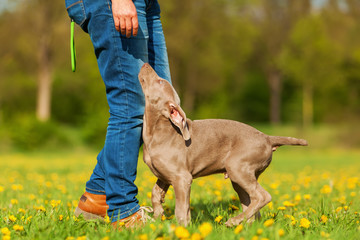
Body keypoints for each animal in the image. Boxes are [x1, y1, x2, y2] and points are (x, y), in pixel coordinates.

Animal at [138, 62, 306, 226]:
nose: (145, 63)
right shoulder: (164, 176)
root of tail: (267, 137)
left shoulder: (182, 178)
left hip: (237, 167)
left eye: (161, 81)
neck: (155, 131)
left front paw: (182, 228)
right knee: (251, 205)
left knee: (263, 196)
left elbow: (181, 208)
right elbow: (155, 193)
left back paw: (233, 221)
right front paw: (158, 215)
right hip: (242, 176)